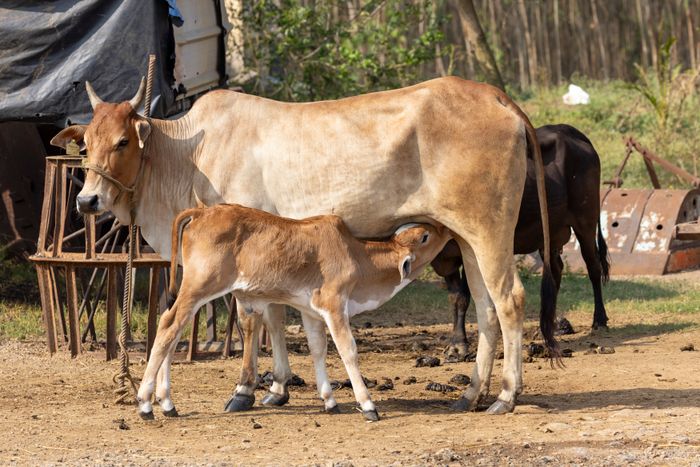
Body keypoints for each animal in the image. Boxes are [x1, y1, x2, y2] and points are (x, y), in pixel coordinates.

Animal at [136, 204, 451, 421]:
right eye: (425, 236)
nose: (445, 228)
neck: (357, 256)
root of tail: (201, 212)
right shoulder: (334, 304)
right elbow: (348, 350)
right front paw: (368, 405)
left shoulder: (311, 311)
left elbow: (318, 349)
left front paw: (330, 400)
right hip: (199, 287)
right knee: (168, 326)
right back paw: (145, 402)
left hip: (193, 292)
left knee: (173, 333)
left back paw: (166, 403)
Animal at [433, 124, 610, 363]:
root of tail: (568, 130)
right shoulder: (445, 256)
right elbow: (455, 297)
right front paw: (456, 344)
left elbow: (465, 297)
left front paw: (460, 346)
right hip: (550, 233)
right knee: (555, 270)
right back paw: (548, 325)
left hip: (586, 220)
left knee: (593, 267)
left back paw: (599, 320)